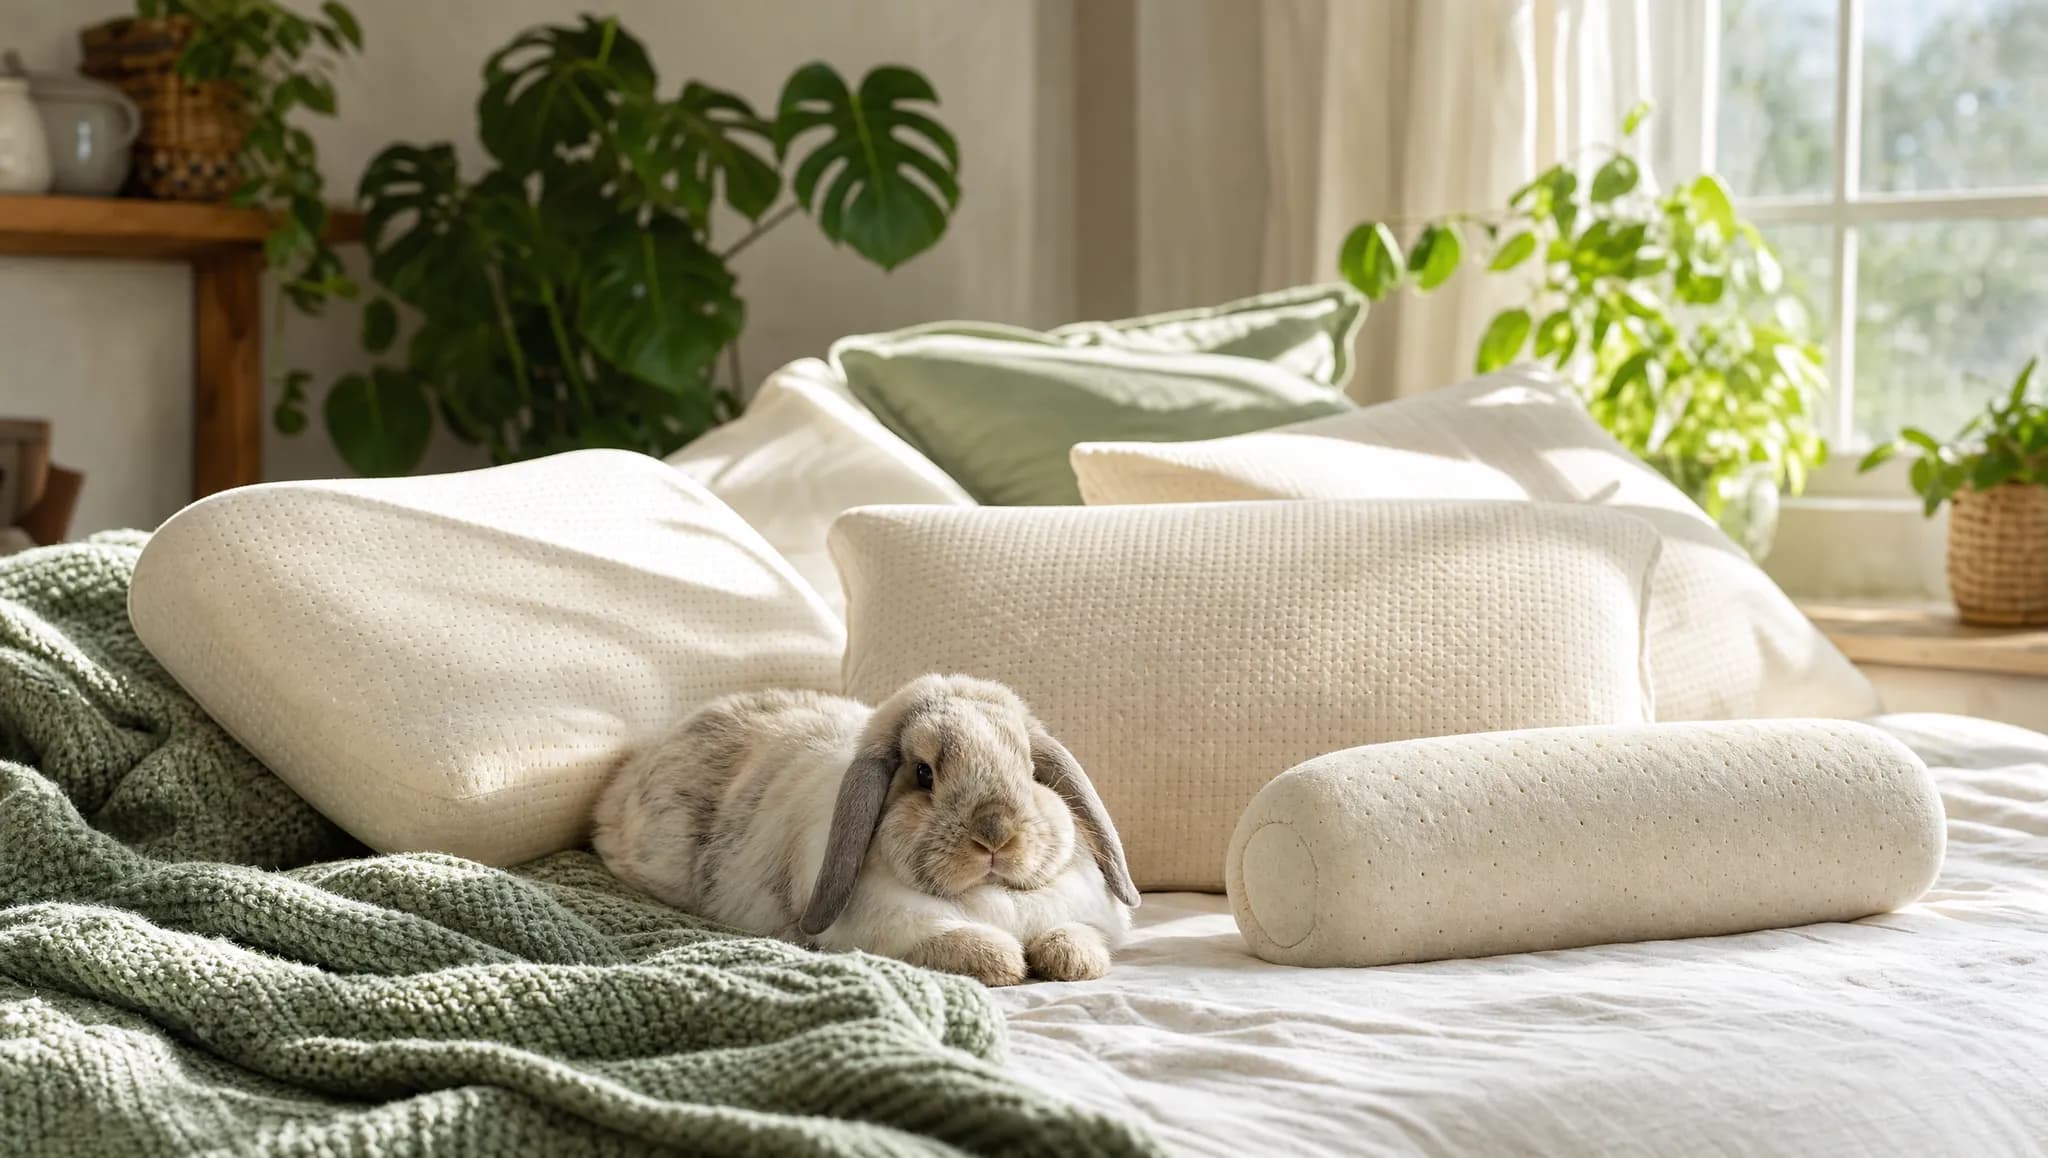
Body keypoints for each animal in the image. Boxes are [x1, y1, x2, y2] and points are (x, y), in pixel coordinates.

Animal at [591, 674, 1140, 986]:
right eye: (923, 773)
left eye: (1030, 771)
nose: (995, 835)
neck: (990, 894)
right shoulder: (897, 931)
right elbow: (965, 944)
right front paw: (1003, 965)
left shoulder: (1081, 914)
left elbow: (1074, 936)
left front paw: (1073, 964)